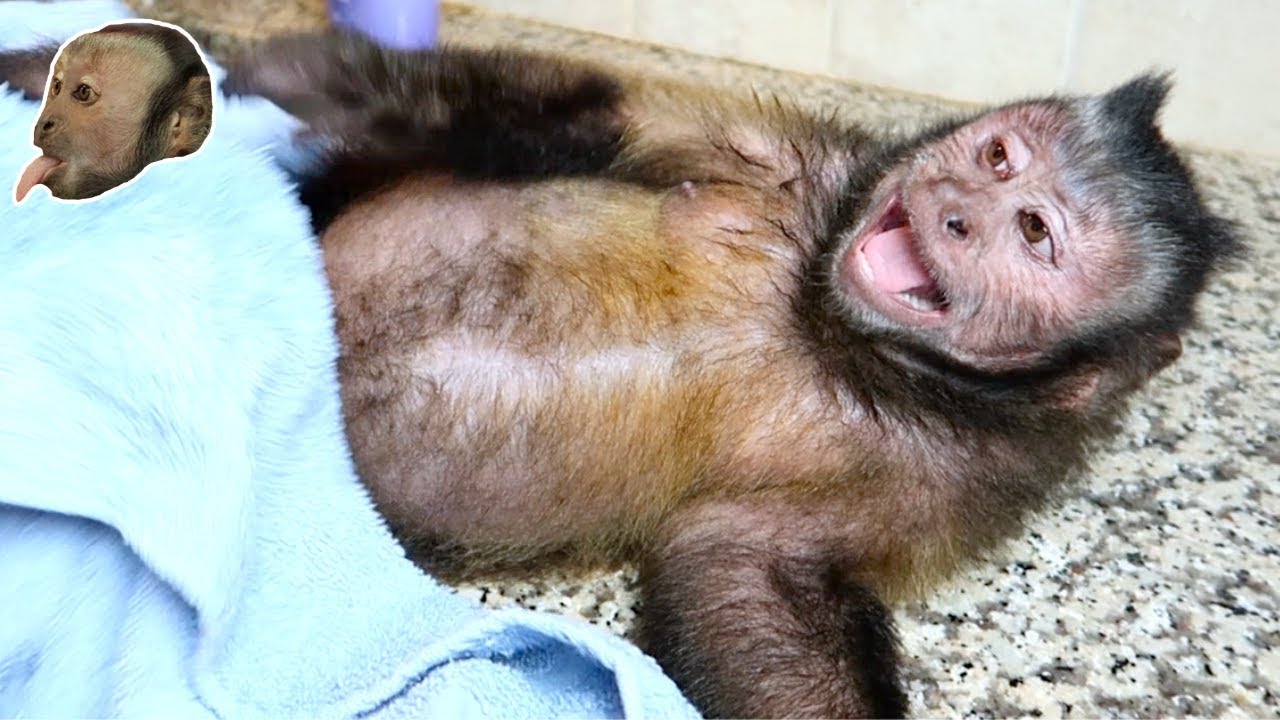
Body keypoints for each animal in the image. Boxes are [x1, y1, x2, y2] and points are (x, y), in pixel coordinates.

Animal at [30, 30, 1232, 717]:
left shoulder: (949, 486)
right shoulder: (790, 158)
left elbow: (751, 581)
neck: (832, 331)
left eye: (1033, 233)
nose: (955, 206)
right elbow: (573, 115)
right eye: (996, 159)